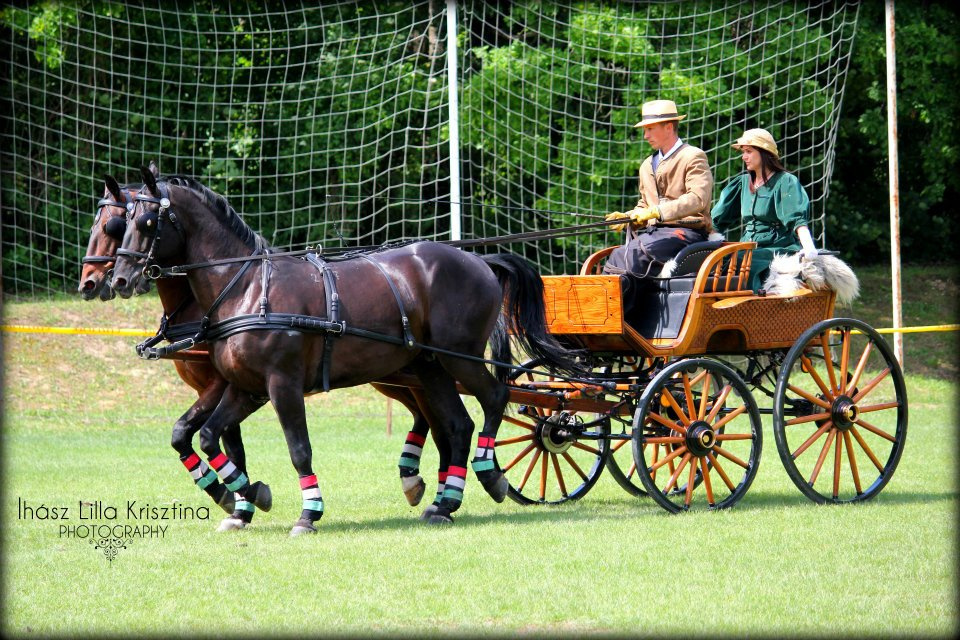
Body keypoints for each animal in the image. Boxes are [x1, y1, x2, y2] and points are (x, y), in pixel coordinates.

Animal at [112, 168, 576, 532]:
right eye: (123, 221)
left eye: (147, 221)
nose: (118, 278)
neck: (247, 288)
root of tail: (480, 261)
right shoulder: (246, 387)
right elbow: (208, 437)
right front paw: (249, 495)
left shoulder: (282, 385)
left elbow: (298, 449)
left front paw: (307, 513)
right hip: (429, 367)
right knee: (457, 425)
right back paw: (444, 503)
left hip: (457, 357)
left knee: (495, 396)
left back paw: (489, 473)